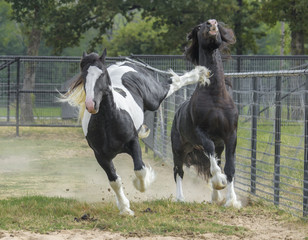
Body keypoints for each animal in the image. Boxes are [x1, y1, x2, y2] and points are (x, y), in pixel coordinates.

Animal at [62, 49, 211, 216]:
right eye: (84, 75)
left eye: (102, 74)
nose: (91, 104)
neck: (109, 122)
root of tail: (126, 63)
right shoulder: (101, 156)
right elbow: (114, 180)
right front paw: (125, 208)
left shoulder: (133, 143)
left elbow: (140, 170)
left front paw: (145, 181)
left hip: (154, 98)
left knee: (174, 82)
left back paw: (200, 73)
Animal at [171, 19, 241, 207]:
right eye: (200, 26)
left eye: (217, 22)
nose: (212, 23)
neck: (215, 97)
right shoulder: (201, 133)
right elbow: (211, 157)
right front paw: (219, 182)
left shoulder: (230, 135)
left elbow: (230, 168)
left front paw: (231, 201)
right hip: (179, 149)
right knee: (178, 171)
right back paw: (180, 198)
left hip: (215, 146)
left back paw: (215, 198)